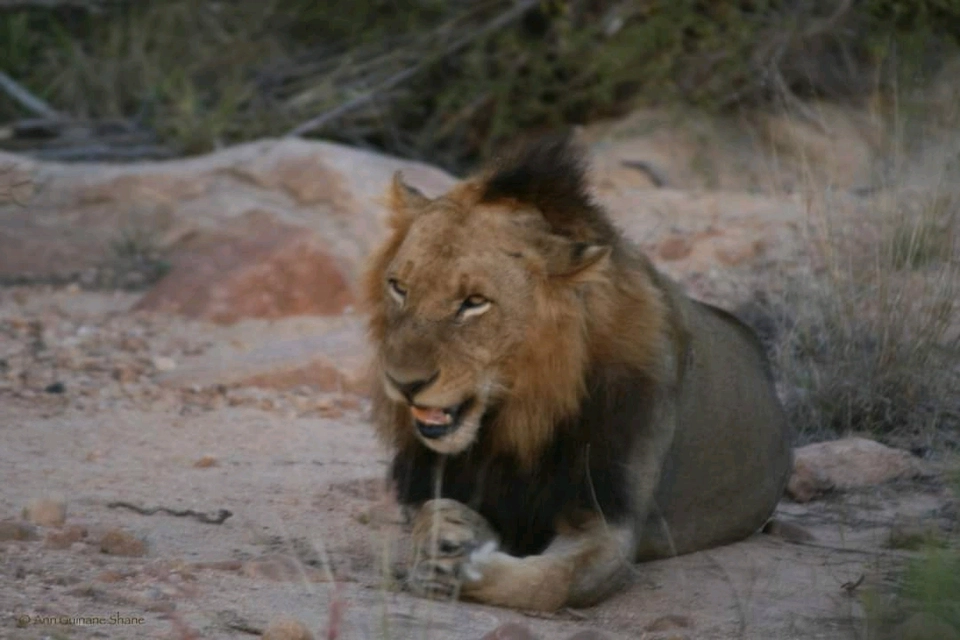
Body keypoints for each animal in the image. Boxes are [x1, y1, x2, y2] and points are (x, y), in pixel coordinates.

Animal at [362, 134, 796, 608]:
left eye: (474, 302)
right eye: (399, 288)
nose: (403, 384)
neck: (520, 417)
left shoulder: (608, 517)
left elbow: (555, 580)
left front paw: (452, 567)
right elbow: (430, 510)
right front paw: (450, 529)